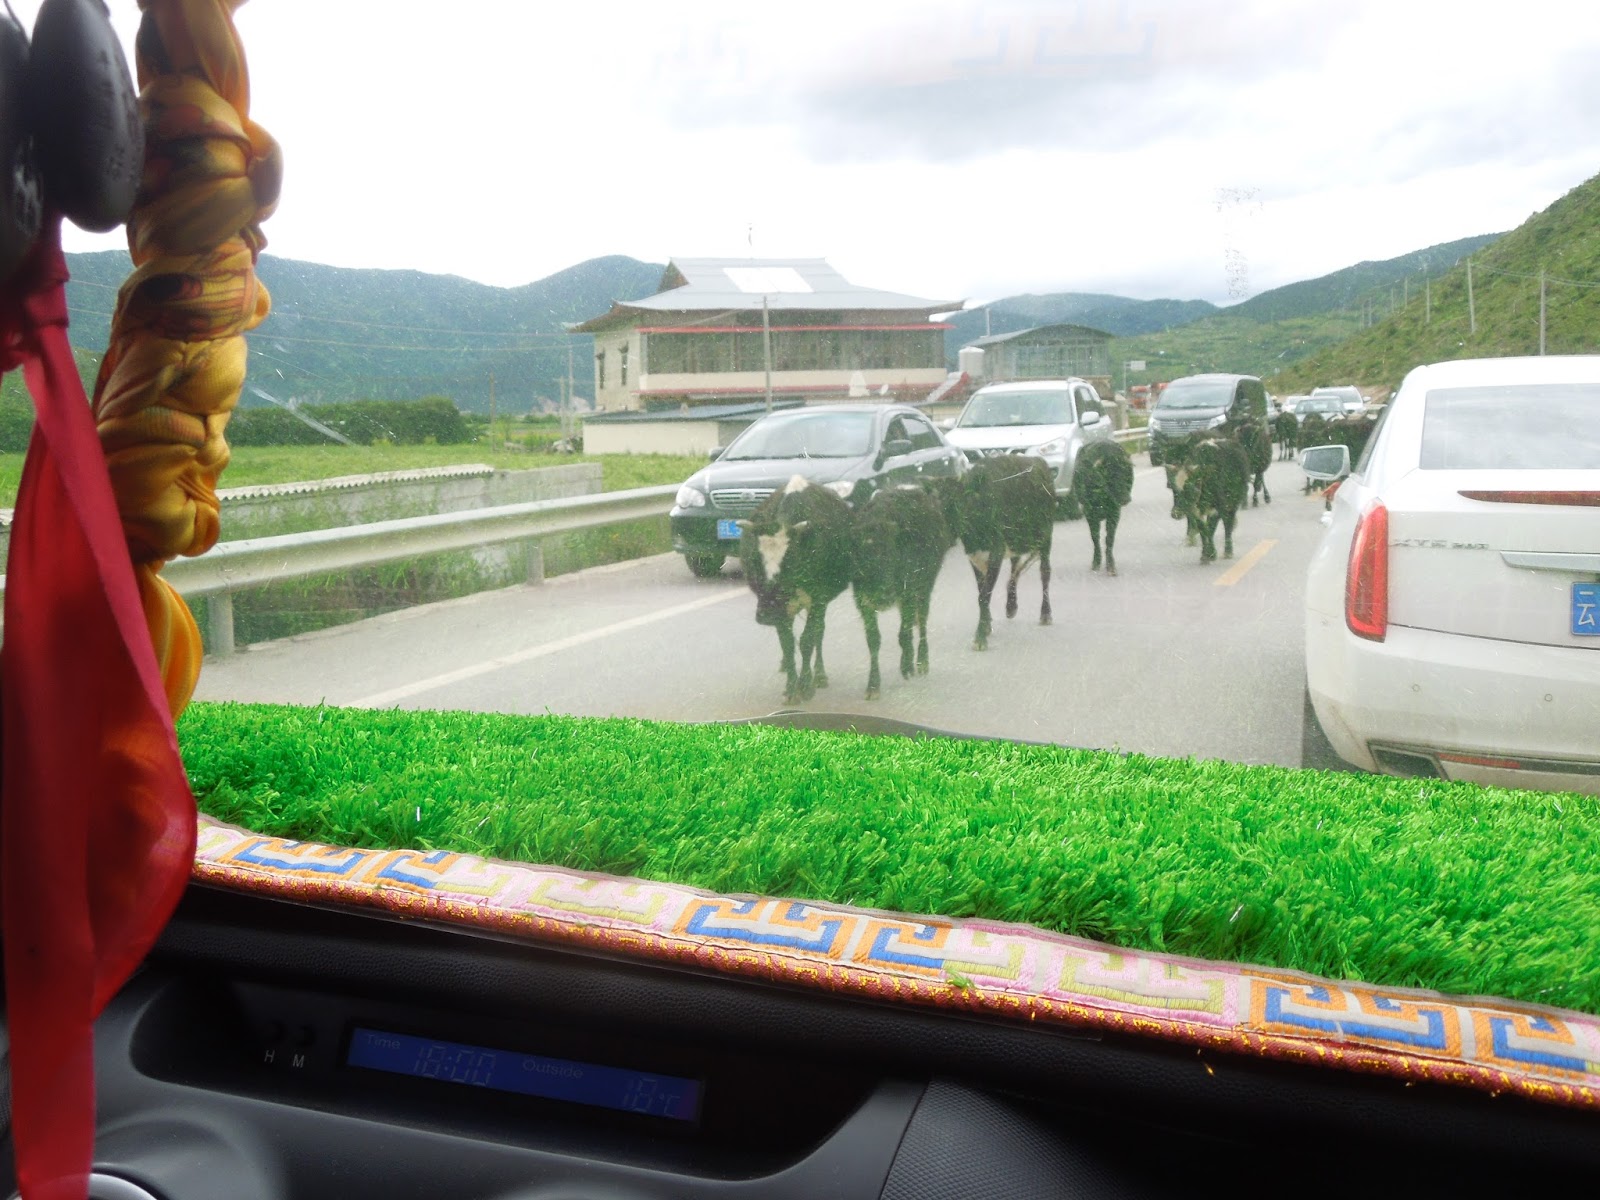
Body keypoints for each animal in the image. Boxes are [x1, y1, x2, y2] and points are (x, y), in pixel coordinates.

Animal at [738, 475, 854, 703]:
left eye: (789, 560)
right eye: (755, 559)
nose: (768, 613)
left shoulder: (818, 598)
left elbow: (808, 640)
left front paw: (805, 685)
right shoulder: (782, 610)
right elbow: (788, 644)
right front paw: (791, 688)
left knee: (819, 632)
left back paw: (819, 675)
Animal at [851, 485, 953, 698]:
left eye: (891, 554)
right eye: (863, 558)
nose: (885, 594)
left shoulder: (908, 594)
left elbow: (903, 634)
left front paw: (907, 666)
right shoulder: (864, 603)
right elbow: (874, 640)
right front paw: (873, 686)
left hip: (925, 588)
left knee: (921, 622)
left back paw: (921, 662)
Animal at [947, 455, 1056, 650]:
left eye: (977, 503)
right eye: (955, 504)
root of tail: (1040, 462)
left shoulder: (995, 552)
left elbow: (984, 595)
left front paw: (980, 637)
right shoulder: (974, 557)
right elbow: (981, 591)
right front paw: (986, 625)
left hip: (1045, 537)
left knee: (1045, 572)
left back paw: (1045, 614)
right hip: (1016, 542)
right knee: (1015, 568)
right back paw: (1011, 606)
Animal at [1072, 440, 1134, 575]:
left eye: (1125, 471)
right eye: (1110, 474)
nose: (1125, 498)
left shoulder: (1115, 512)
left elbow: (1109, 538)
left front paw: (1111, 566)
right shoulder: (1089, 512)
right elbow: (1095, 537)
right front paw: (1096, 562)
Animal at [1168, 434, 1250, 563]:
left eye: (1189, 488)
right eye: (1174, 490)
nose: (1176, 513)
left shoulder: (1218, 507)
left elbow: (1210, 528)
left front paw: (1211, 553)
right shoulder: (1195, 510)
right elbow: (1203, 528)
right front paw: (1205, 554)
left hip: (1233, 502)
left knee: (1228, 523)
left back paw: (1228, 551)